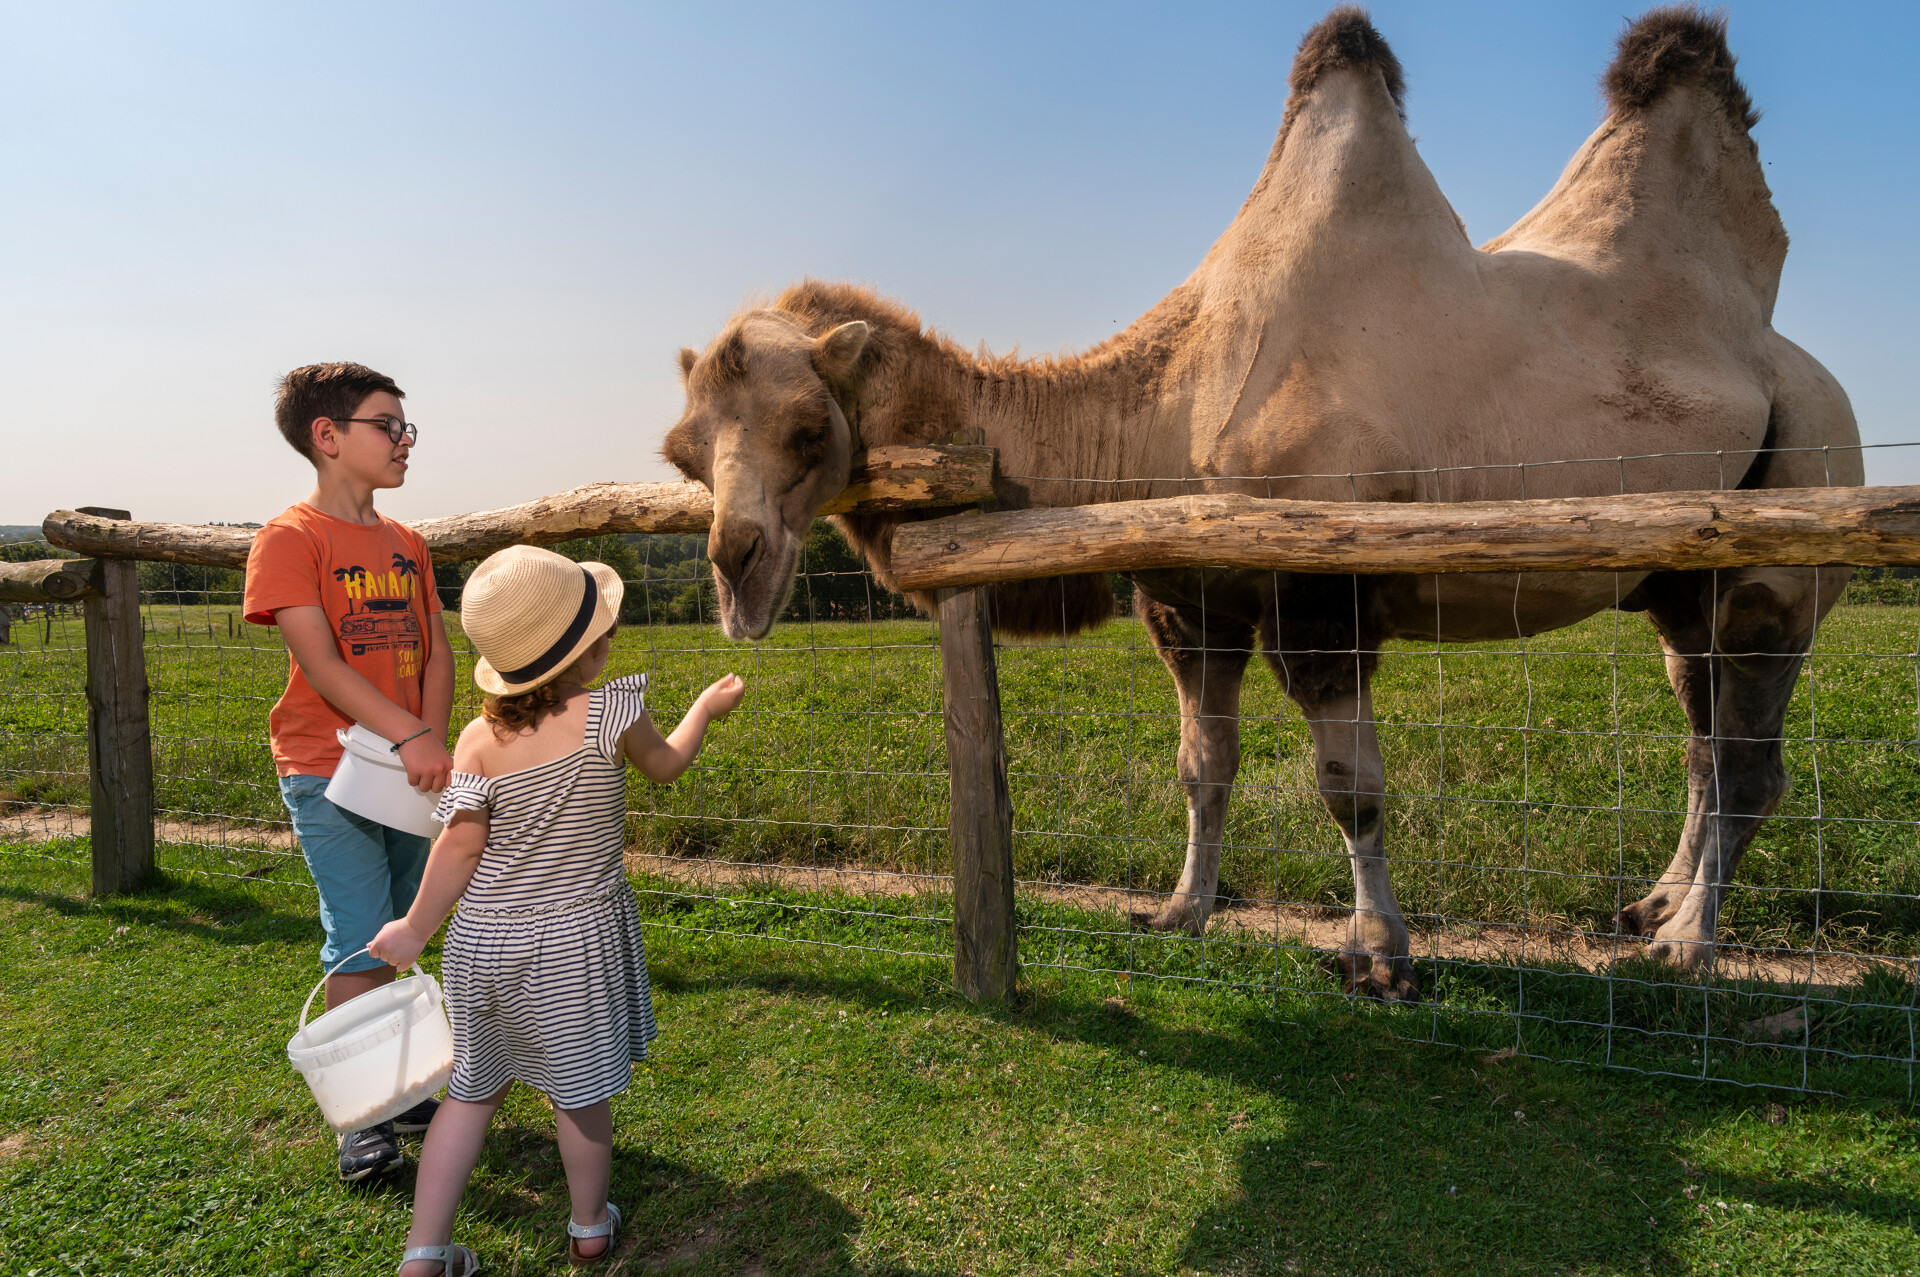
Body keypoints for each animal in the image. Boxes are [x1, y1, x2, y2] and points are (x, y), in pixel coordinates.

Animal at [660, 4, 1858, 998]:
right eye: (684, 454)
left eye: (808, 429)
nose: (734, 566)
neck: (1166, 411)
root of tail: (1822, 388)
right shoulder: (1194, 599)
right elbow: (1205, 765)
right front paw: (1179, 910)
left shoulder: (1321, 592)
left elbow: (1349, 786)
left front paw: (1381, 955)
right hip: (1679, 585)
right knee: (1703, 738)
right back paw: (1652, 903)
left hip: (1786, 537)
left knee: (1750, 763)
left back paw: (1690, 944)